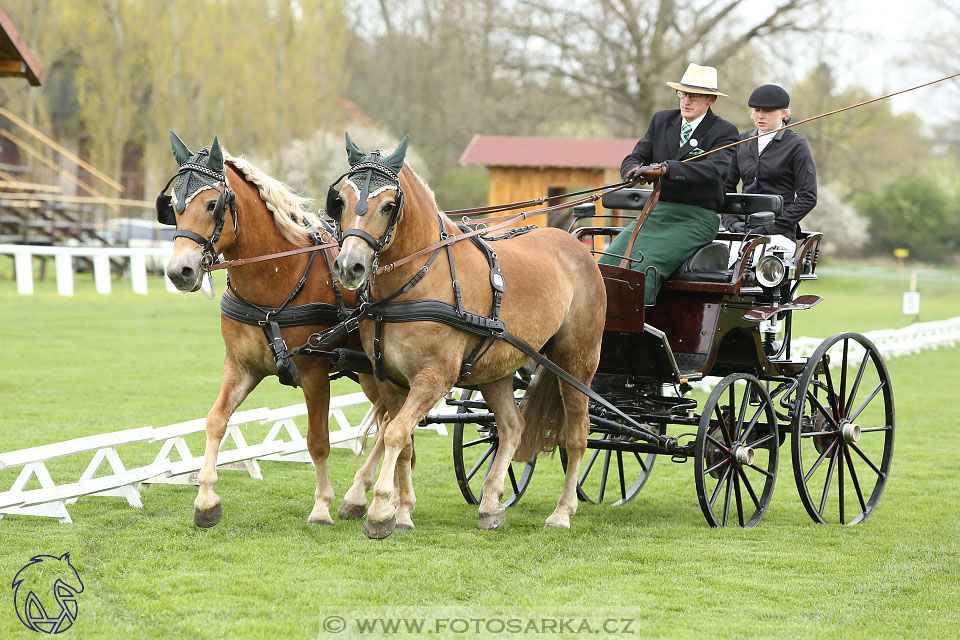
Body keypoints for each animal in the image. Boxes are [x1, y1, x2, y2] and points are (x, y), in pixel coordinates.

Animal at [161, 131, 394, 528]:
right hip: (367, 372)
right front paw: (206, 500)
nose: (180, 272)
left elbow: (318, 440)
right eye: (173, 205)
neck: (275, 277)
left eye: (212, 204)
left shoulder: (314, 372)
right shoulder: (241, 366)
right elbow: (216, 421)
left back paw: (361, 495)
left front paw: (321, 505)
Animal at [326, 132, 604, 536]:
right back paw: (491, 504)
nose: (350, 266)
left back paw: (562, 512)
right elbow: (402, 438)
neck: (417, 281)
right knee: (511, 427)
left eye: (389, 206)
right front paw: (402, 513)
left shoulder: (434, 378)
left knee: (577, 433)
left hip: (576, 363)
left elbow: (394, 433)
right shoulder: (390, 379)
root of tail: (575, 248)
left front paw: (379, 511)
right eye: (342, 201)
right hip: (497, 369)